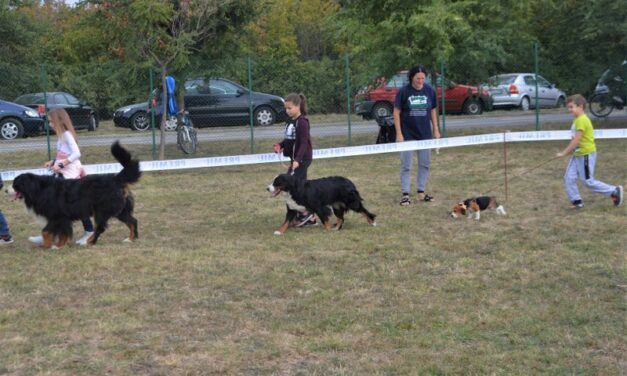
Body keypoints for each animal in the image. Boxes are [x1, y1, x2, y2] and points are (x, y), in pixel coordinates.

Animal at [8, 140, 141, 247]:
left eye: (15, 185)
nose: (5, 190)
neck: (39, 189)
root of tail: (116, 178)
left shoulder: (57, 216)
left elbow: (46, 231)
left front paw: (48, 245)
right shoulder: (62, 218)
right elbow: (62, 233)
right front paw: (60, 245)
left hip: (102, 210)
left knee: (100, 228)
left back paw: (89, 242)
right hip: (120, 210)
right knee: (132, 221)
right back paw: (130, 239)